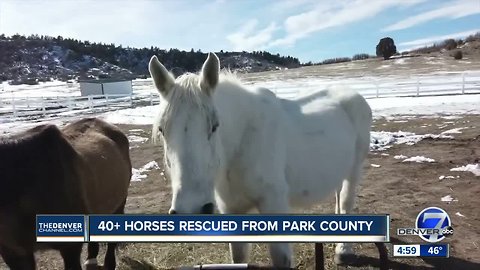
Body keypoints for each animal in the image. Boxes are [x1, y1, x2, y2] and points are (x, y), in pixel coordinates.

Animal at [148, 52, 374, 266]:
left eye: (214, 126)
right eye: (162, 130)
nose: (192, 210)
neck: (244, 141)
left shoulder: (274, 204)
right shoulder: (232, 209)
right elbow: (238, 257)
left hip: (354, 168)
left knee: (345, 200)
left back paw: (343, 250)